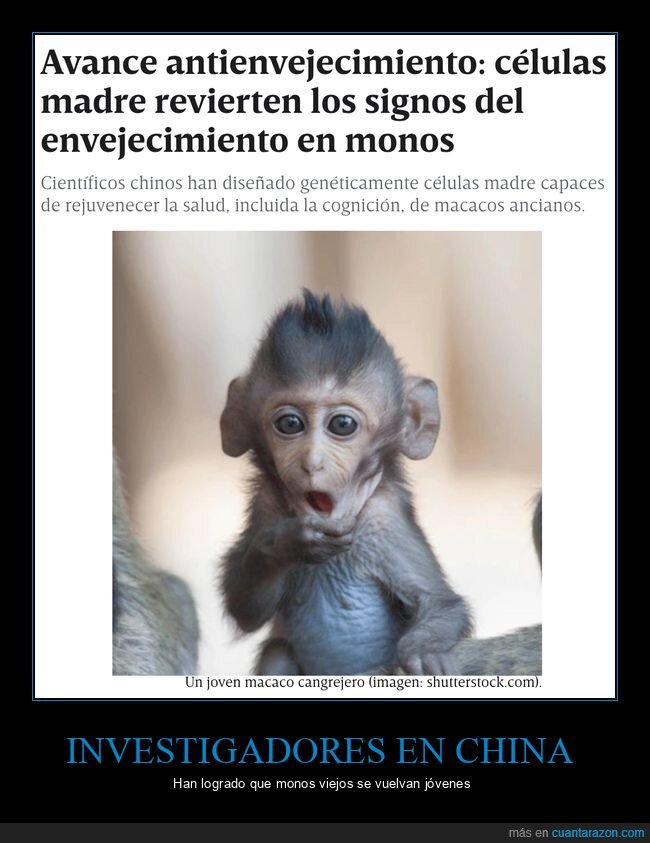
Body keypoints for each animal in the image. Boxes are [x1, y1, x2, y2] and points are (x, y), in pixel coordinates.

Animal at [219, 291, 471, 676]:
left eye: (342, 425)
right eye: (290, 423)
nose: (312, 463)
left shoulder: (383, 520)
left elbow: (441, 605)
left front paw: (425, 652)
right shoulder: (267, 504)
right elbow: (244, 607)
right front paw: (290, 543)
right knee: (276, 653)